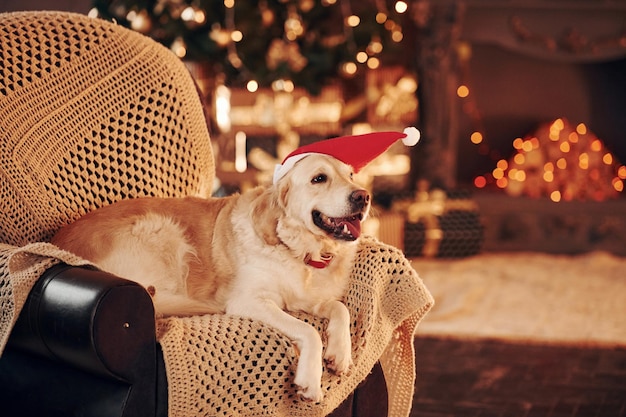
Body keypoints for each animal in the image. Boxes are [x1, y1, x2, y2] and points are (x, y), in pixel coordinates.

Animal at [52, 153, 370, 400]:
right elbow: (309, 330)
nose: (363, 196)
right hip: (161, 230)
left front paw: (341, 353)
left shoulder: (310, 298)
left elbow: (340, 309)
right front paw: (310, 381)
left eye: (351, 175)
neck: (300, 250)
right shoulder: (249, 301)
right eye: (319, 178)